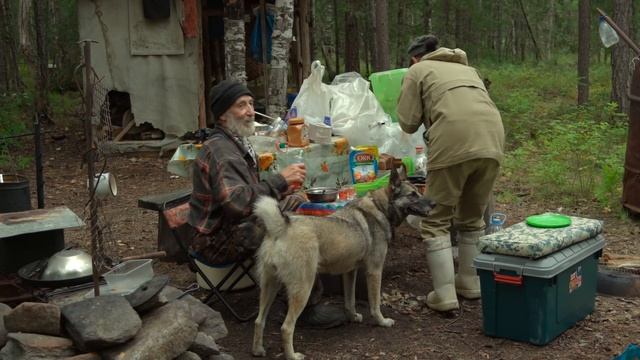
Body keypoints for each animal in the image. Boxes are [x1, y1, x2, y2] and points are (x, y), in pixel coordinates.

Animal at [250, 169, 436, 360]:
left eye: (418, 191)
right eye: (412, 195)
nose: (434, 203)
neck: (380, 208)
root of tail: (281, 227)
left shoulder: (349, 272)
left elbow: (350, 300)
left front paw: (353, 317)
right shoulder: (374, 271)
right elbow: (375, 304)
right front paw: (382, 321)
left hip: (270, 287)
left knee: (259, 321)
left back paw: (258, 350)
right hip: (302, 289)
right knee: (286, 327)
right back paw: (292, 355)